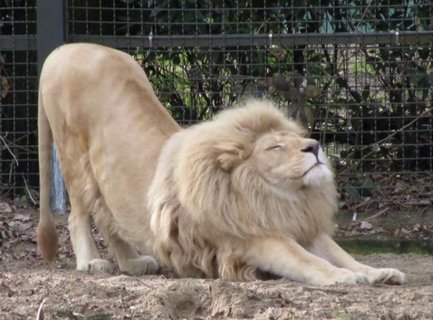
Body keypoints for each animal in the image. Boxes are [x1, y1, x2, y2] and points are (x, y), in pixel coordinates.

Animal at [37, 42, 404, 284]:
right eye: (275, 146)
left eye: (296, 138)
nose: (314, 146)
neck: (273, 194)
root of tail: (62, 49)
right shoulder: (254, 238)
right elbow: (308, 260)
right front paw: (342, 278)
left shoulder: (297, 224)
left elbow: (342, 254)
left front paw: (379, 273)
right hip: (73, 157)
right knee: (79, 215)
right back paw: (90, 263)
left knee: (107, 217)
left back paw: (133, 264)